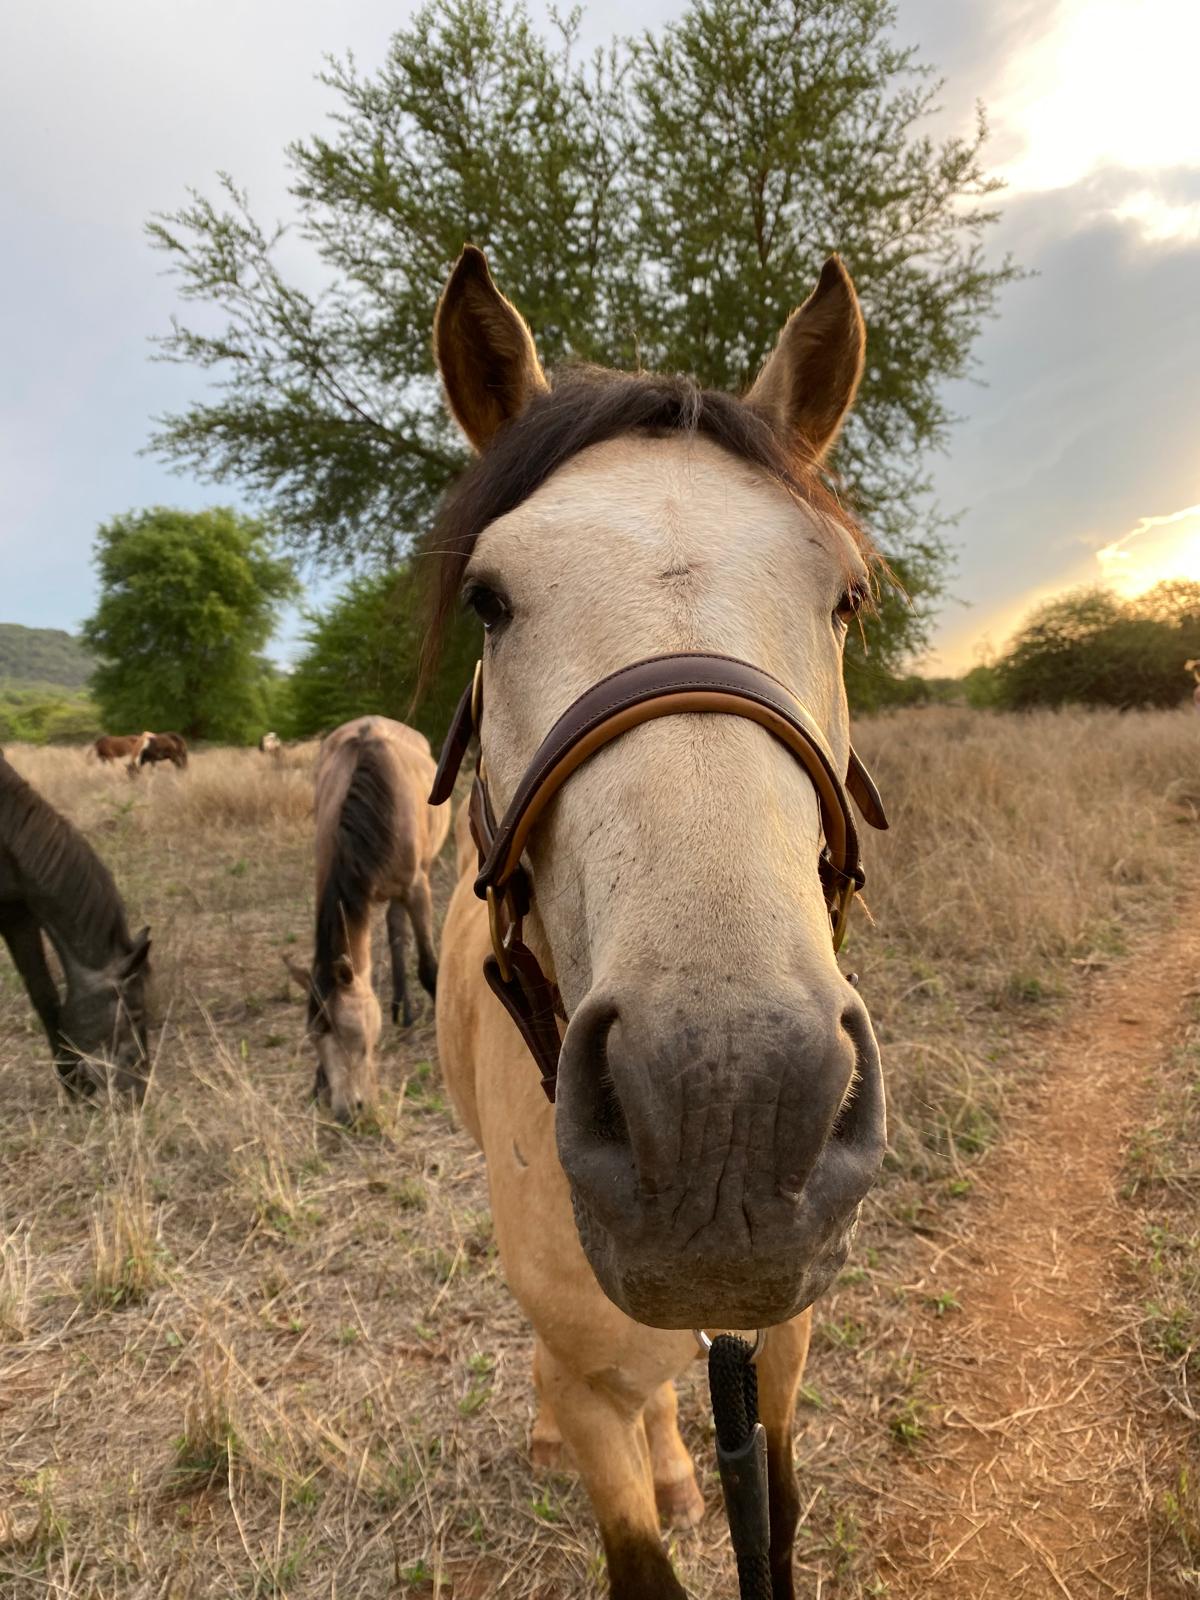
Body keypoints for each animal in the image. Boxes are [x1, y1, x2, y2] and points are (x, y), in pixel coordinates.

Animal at [285, 716, 449, 1123]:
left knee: (399, 932)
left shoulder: (416, 887)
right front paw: (318, 1084)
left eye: (354, 1035)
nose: (348, 1110)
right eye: (315, 1036)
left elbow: (429, 967)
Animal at [428, 247, 887, 1598]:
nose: (726, 1104)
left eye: (845, 597)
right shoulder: (589, 1373)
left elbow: (774, 1514)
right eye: (489, 600)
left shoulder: (782, 1342)